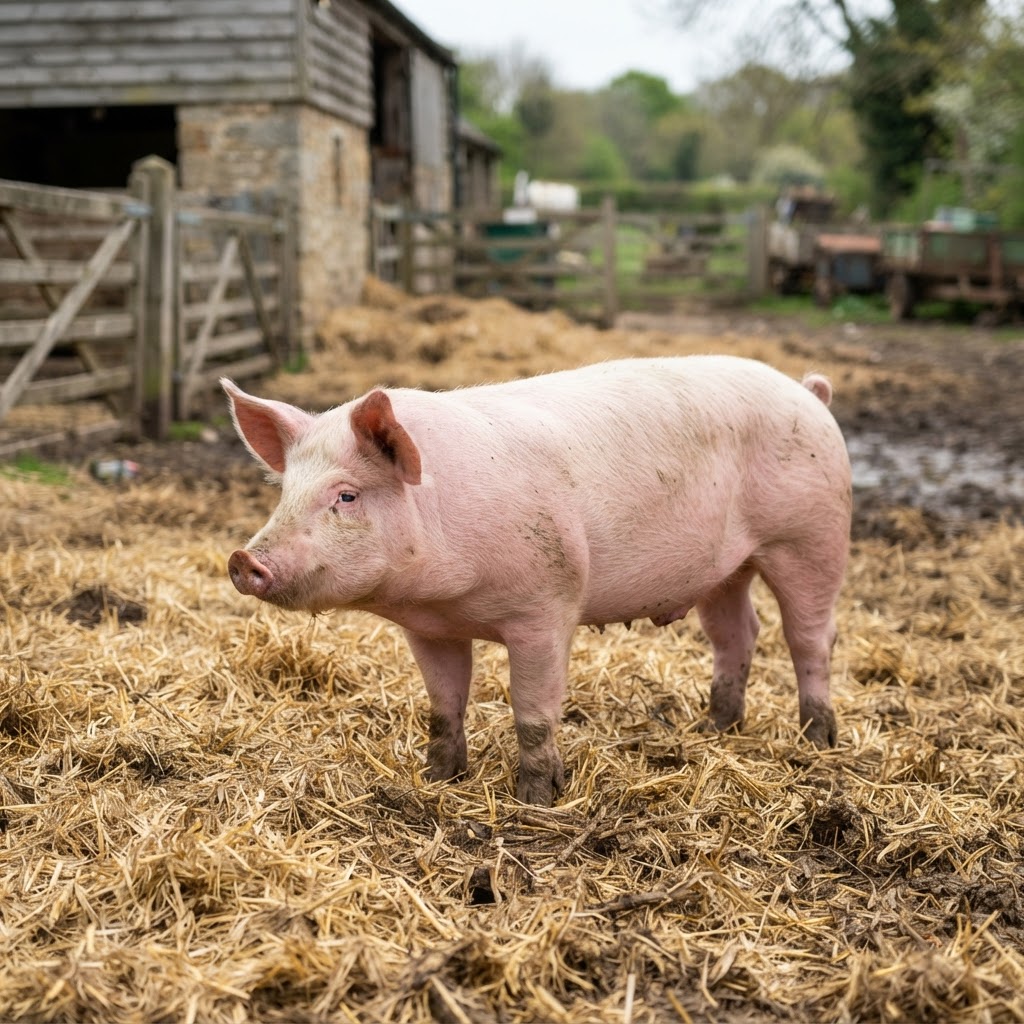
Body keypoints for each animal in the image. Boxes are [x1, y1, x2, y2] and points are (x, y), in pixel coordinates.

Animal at [223, 355, 851, 806]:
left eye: (347, 495)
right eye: (286, 491)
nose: (244, 560)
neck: (446, 593)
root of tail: (809, 392)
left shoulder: (547, 606)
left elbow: (532, 709)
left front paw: (536, 799)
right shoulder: (429, 629)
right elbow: (443, 704)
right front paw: (438, 779)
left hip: (811, 536)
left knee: (811, 636)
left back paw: (817, 738)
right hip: (727, 568)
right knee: (738, 631)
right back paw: (714, 726)